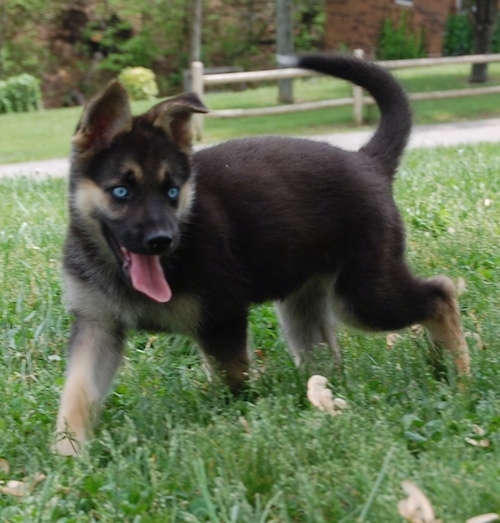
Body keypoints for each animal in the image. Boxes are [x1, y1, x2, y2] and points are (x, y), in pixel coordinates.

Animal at [54, 51, 468, 456]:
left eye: (171, 191)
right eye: (121, 192)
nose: (163, 240)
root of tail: (368, 161)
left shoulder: (222, 318)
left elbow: (233, 381)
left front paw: (235, 421)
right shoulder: (97, 325)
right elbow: (77, 394)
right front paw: (67, 458)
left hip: (363, 296)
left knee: (440, 293)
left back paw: (457, 372)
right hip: (304, 307)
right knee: (327, 356)